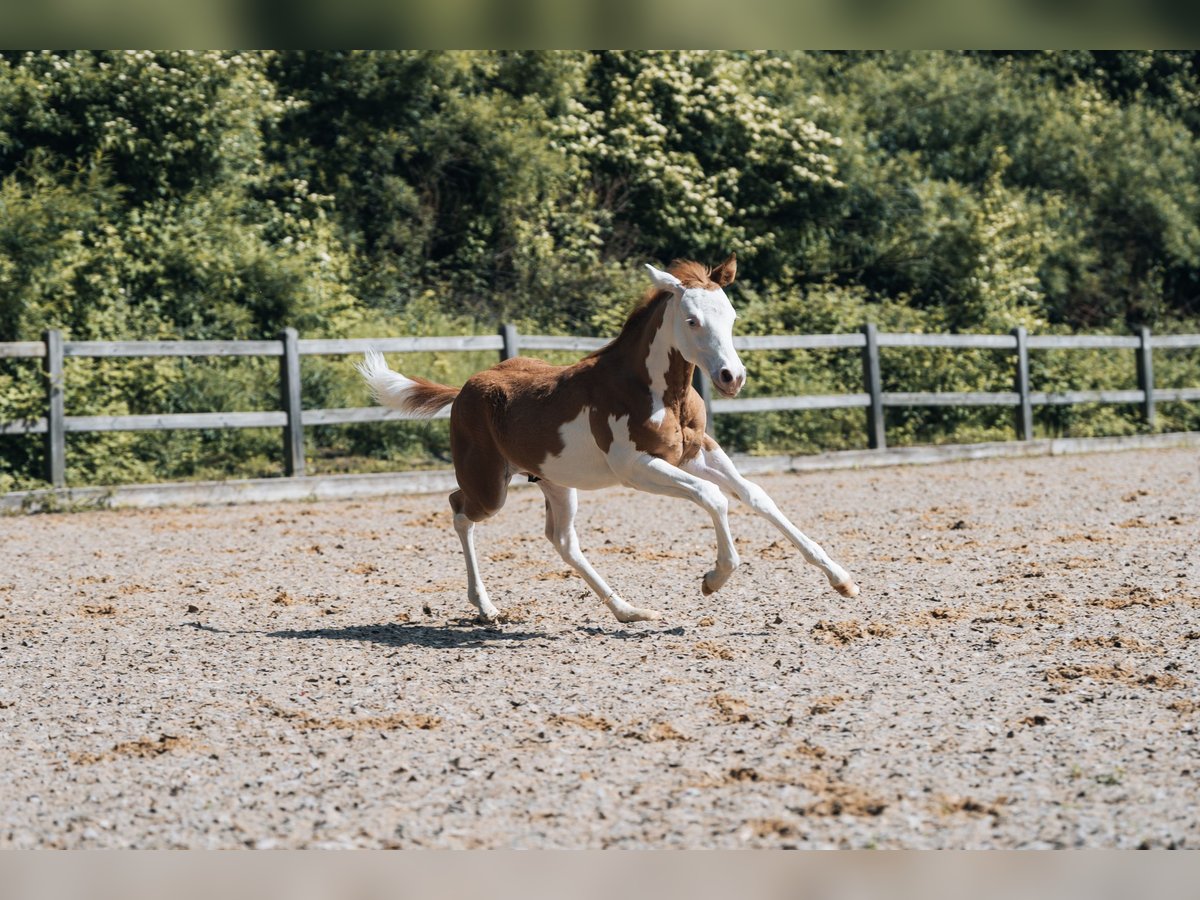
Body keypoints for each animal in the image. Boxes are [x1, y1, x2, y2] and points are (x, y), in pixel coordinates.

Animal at [360, 250, 859, 624]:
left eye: (732, 315)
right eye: (692, 320)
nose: (730, 377)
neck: (657, 391)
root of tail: (465, 388)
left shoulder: (698, 453)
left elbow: (756, 496)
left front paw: (842, 579)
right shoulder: (637, 468)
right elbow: (713, 497)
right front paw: (714, 578)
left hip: (556, 482)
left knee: (562, 541)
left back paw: (628, 611)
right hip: (490, 486)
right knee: (459, 510)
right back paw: (486, 607)